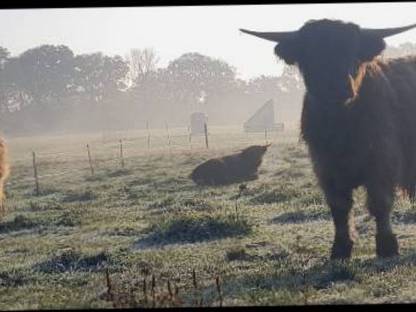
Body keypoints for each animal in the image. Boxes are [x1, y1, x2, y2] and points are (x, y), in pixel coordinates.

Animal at [242, 18, 416, 260]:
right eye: (312, 56)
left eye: (354, 54)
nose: (336, 86)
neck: (340, 128)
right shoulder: (325, 167)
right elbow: (339, 208)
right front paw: (340, 248)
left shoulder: (382, 162)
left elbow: (380, 203)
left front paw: (387, 246)